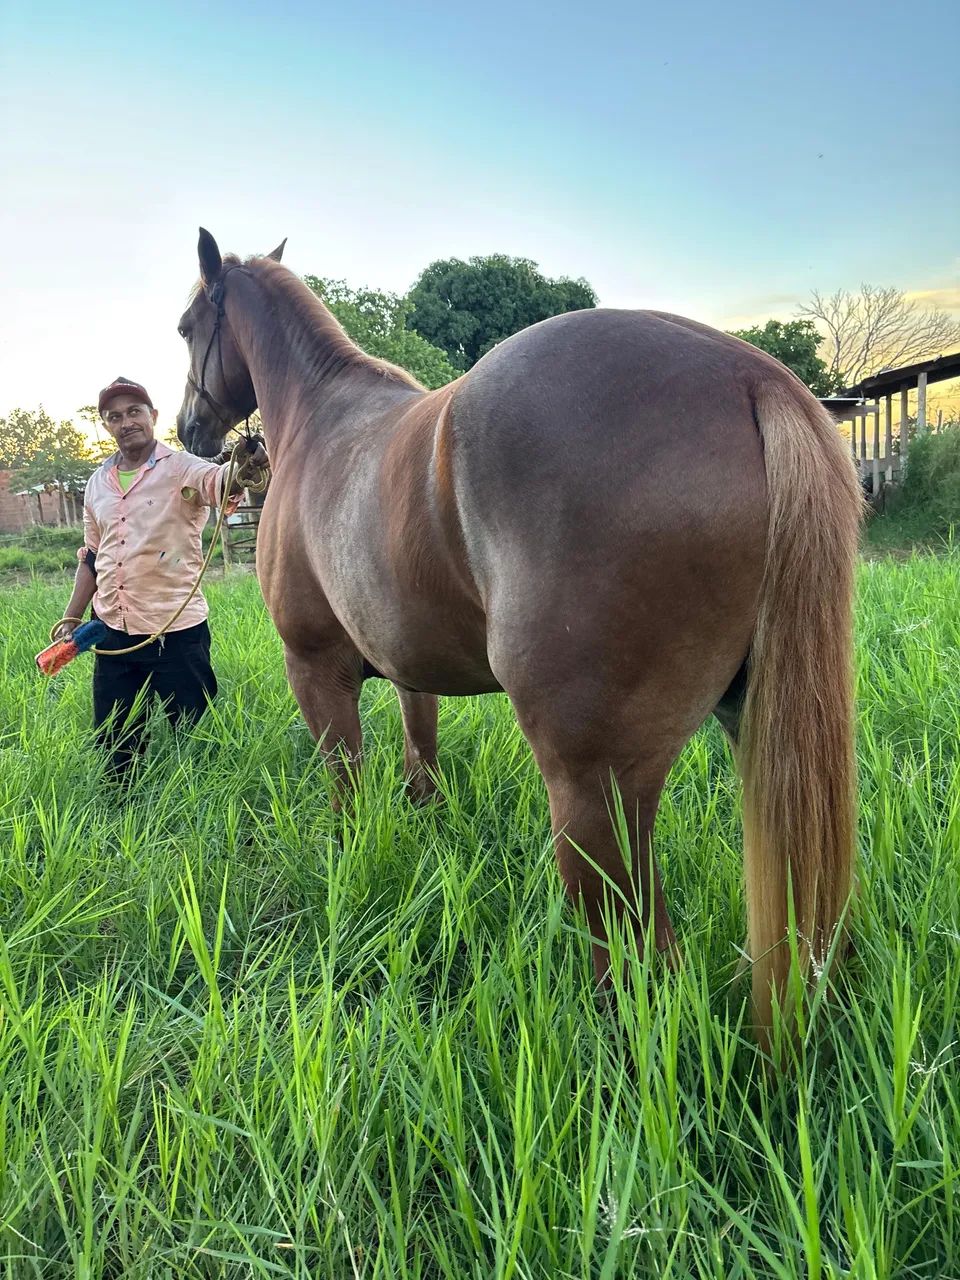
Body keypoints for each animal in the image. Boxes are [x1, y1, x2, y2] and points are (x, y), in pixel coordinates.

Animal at [176, 228, 862, 1038]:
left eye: (186, 328)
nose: (189, 428)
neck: (321, 418)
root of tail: (749, 374)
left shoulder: (315, 670)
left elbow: (346, 786)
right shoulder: (410, 671)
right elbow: (421, 755)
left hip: (594, 786)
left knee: (638, 950)